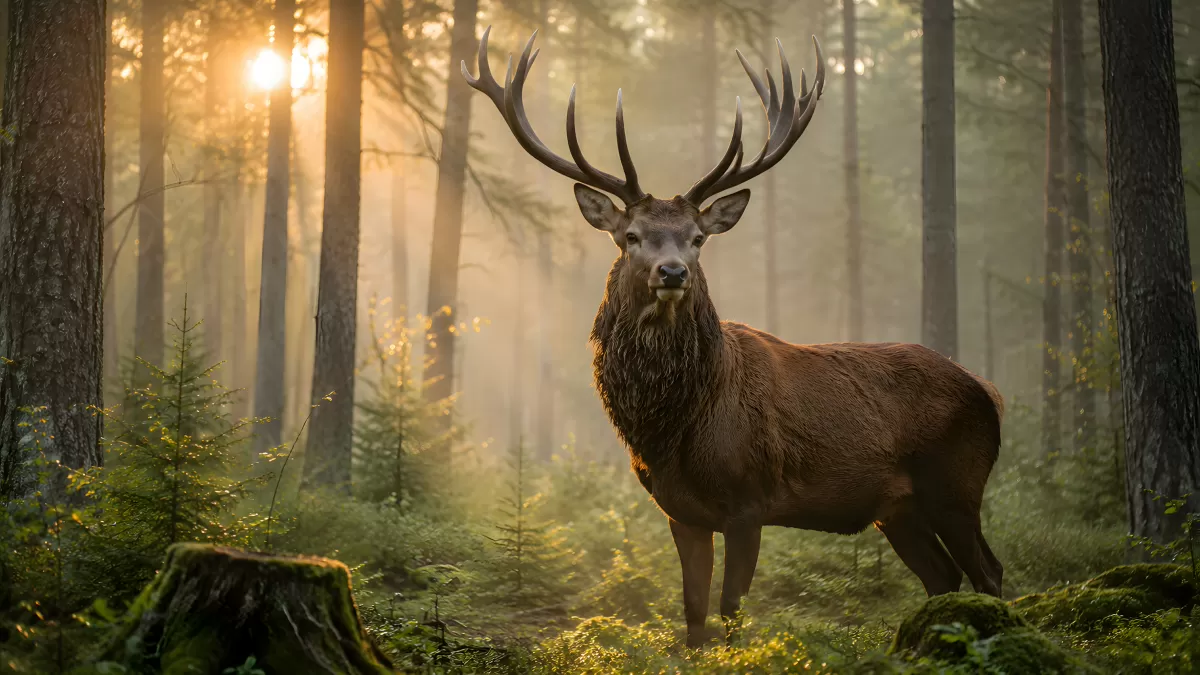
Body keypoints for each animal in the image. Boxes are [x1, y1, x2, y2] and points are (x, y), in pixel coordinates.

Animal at [463, 27, 1006, 647]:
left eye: (698, 237)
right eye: (631, 235)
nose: (673, 272)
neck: (675, 425)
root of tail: (989, 392)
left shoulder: (751, 502)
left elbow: (731, 612)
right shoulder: (680, 512)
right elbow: (694, 613)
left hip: (956, 484)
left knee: (989, 571)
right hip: (899, 508)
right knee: (942, 576)